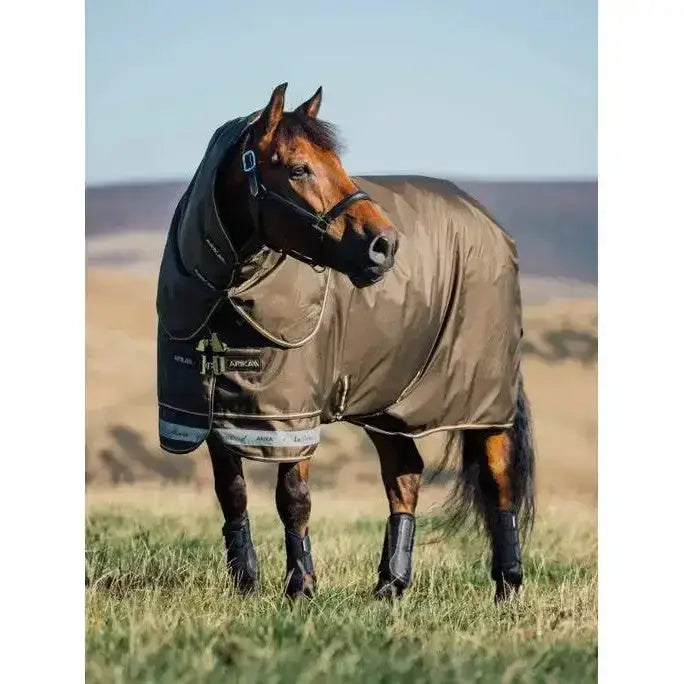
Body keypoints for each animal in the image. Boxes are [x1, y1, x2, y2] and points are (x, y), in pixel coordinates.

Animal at [155, 83, 536, 604]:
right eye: (298, 168)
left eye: (337, 161)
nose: (385, 245)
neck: (226, 298)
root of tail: (491, 225)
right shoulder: (211, 413)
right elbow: (231, 494)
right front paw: (246, 583)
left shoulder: (292, 418)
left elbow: (293, 499)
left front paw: (300, 587)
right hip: (390, 402)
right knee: (405, 474)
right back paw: (391, 584)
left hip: (483, 400)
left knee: (498, 479)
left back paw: (507, 585)